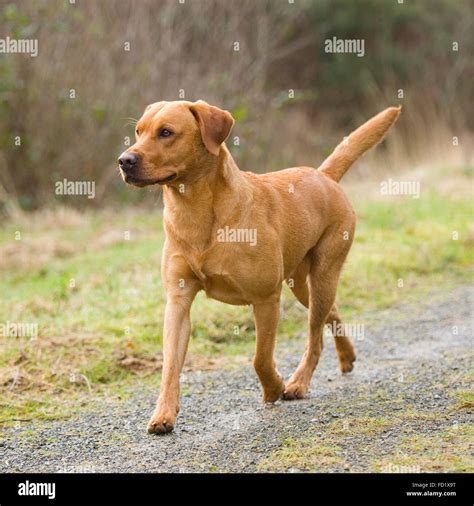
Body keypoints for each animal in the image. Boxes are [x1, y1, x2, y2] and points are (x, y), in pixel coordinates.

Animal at [118, 101, 400, 432]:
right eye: (139, 131)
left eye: (166, 132)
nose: (124, 160)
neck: (197, 212)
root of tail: (324, 176)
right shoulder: (178, 301)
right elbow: (170, 365)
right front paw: (163, 414)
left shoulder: (265, 298)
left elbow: (260, 358)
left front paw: (273, 387)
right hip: (302, 285)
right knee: (332, 312)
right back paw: (347, 356)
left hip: (323, 274)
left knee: (314, 336)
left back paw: (298, 383)